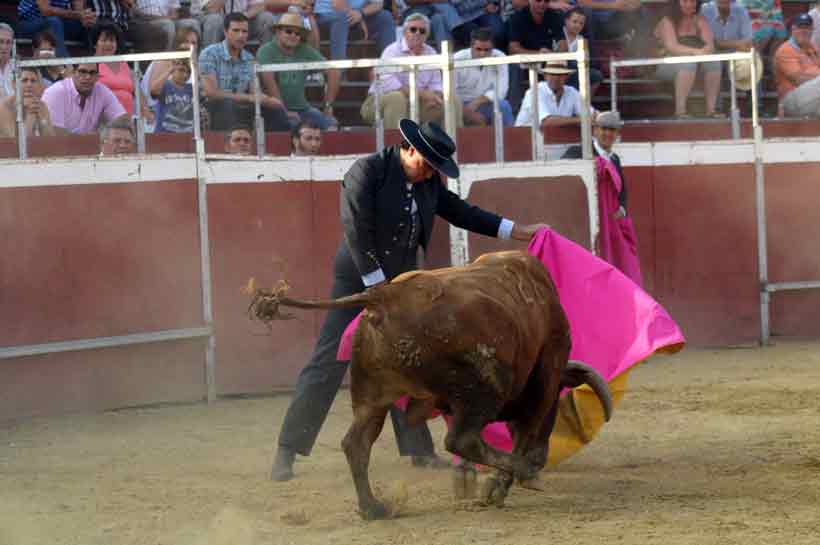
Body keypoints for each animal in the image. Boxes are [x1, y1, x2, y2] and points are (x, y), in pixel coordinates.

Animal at [253, 251, 612, 520]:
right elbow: (524, 430)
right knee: (461, 439)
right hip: (484, 387)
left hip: (371, 397)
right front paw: (501, 483)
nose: (542, 458)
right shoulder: (546, 375)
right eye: (558, 405)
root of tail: (384, 295)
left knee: (356, 444)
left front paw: (471, 481)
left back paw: (373, 508)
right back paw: (520, 470)